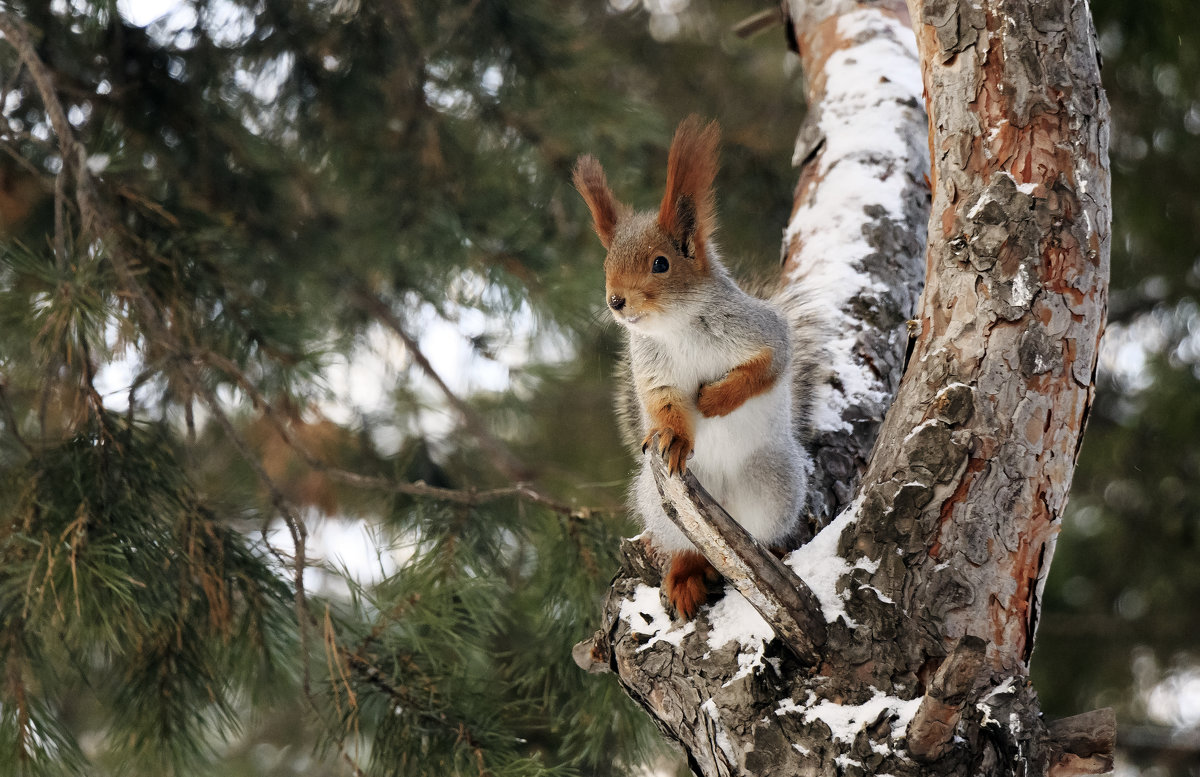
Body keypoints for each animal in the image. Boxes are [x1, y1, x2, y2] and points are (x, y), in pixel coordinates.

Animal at [568, 116, 816, 618]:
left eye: (661, 264)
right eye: (607, 264)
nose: (616, 301)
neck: (676, 327)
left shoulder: (764, 333)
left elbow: (765, 368)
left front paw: (715, 399)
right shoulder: (653, 371)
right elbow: (664, 406)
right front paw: (676, 437)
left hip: (774, 484)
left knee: (754, 541)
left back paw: (772, 551)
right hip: (660, 505)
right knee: (690, 550)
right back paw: (684, 575)